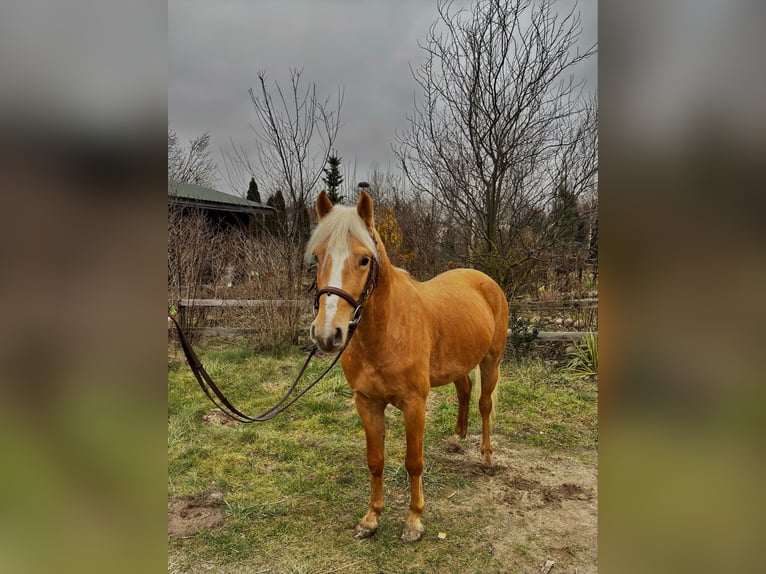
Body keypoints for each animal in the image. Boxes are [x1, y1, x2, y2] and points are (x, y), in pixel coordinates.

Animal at [306, 190, 510, 544]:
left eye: (364, 259)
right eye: (318, 258)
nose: (327, 333)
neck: (388, 330)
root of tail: (485, 281)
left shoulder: (415, 404)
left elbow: (414, 462)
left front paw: (414, 521)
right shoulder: (367, 403)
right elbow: (375, 460)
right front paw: (371, 518)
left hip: (491, 361)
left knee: (484, 404)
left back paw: (486, 457)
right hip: (459, 363)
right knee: (465, 392)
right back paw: (457, 438)